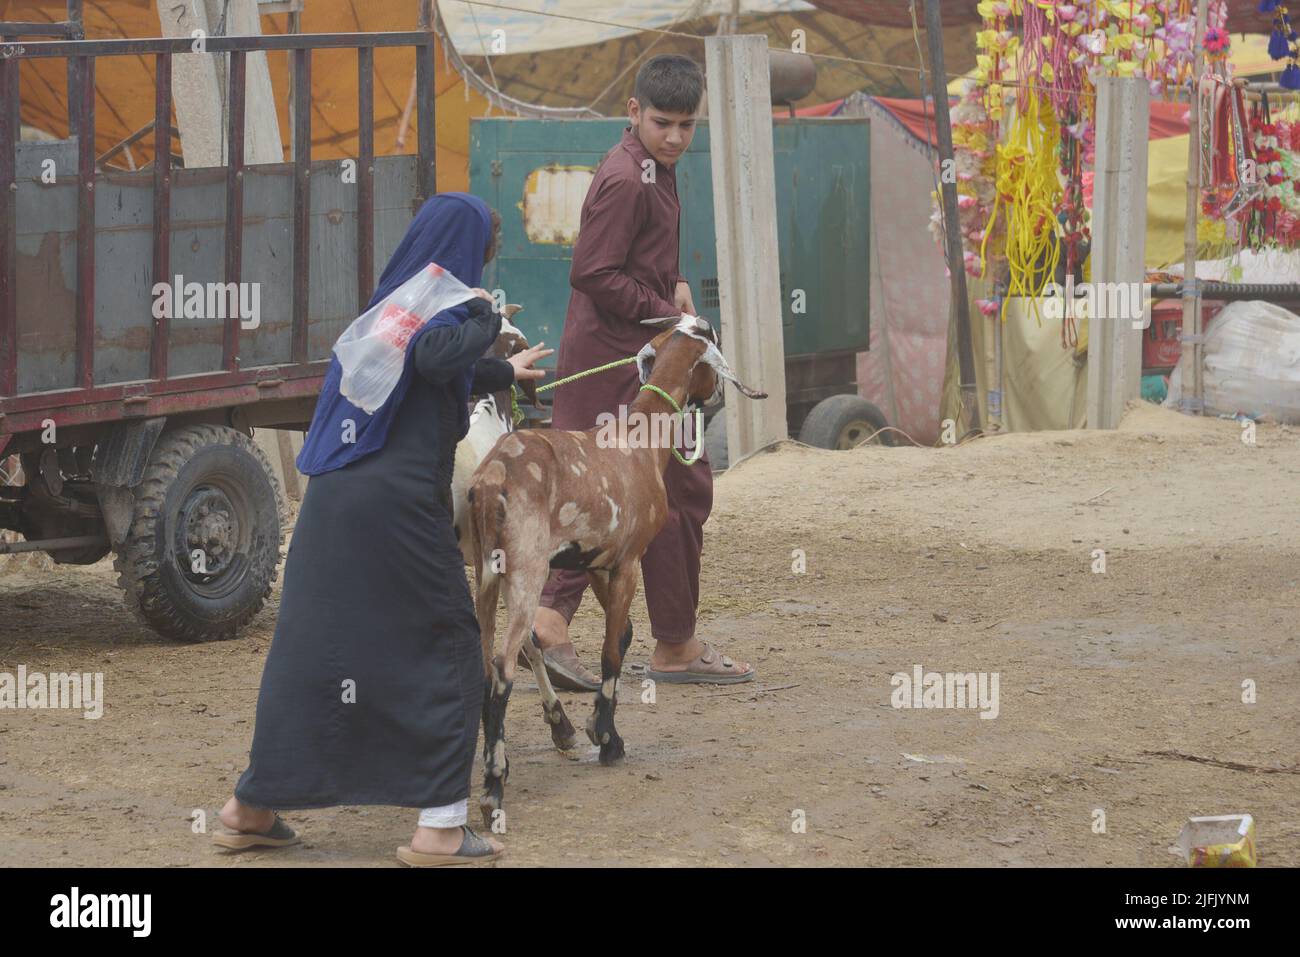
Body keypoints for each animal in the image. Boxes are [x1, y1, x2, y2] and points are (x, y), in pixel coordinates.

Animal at [467, 312, 764, 821]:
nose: (716, 398)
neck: (640, 440)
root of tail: (492, 481)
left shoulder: (596, 563)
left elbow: (621, 635)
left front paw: (600, 727)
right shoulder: (628, 561)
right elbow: (610, 650)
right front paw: (606, 739)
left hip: (487, 577)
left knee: (489, 664)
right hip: (524, 572)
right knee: (505, 663)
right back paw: (493, 787)